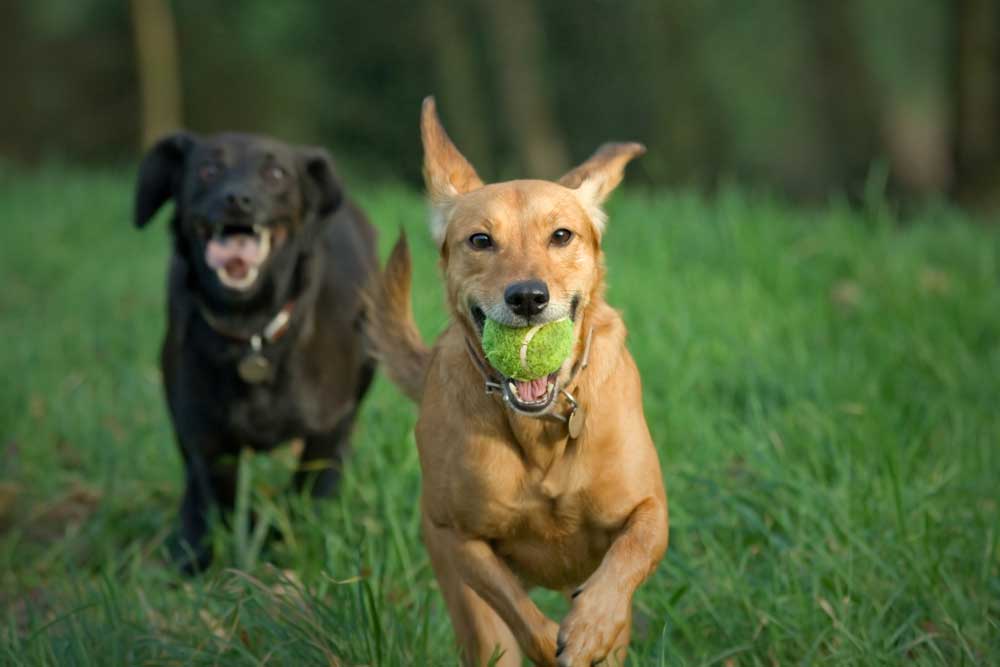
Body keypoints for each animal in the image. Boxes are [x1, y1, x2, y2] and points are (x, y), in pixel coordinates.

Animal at [135, 132, 376, 576]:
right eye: (208, 169)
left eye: (276, 173)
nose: (238, 198)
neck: (251, 331)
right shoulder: (202, 433)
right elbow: (216, 487)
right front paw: (204, 550)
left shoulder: (331, 423)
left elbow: (311, 486)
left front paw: (291, 538)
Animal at [366, 99, 664, 667]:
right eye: (480, 240)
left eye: (562, 235)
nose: (527, 297)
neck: (540, 428)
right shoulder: (457, 537)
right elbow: (522, 618)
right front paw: (556, 642)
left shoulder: (649, 509)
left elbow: (632, 554)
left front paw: (590, 626)